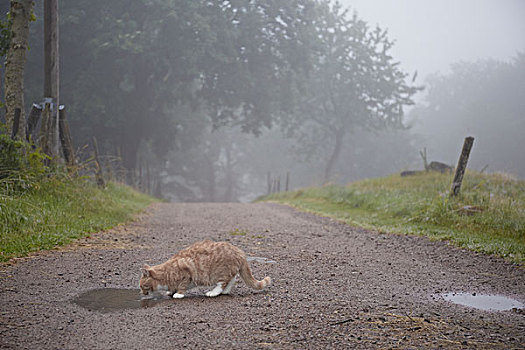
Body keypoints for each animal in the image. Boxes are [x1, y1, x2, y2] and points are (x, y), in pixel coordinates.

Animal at [139, 241, 270, 298]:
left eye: (142, 286)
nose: (141, 293)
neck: (166, 274)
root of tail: (239, 251)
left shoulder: (187, 273)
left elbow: (182, 286)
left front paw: (178, 294)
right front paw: (171, 291)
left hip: (220, 272)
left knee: (223, 282)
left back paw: (214, 292)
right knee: (232, 279)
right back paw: (225, 291)